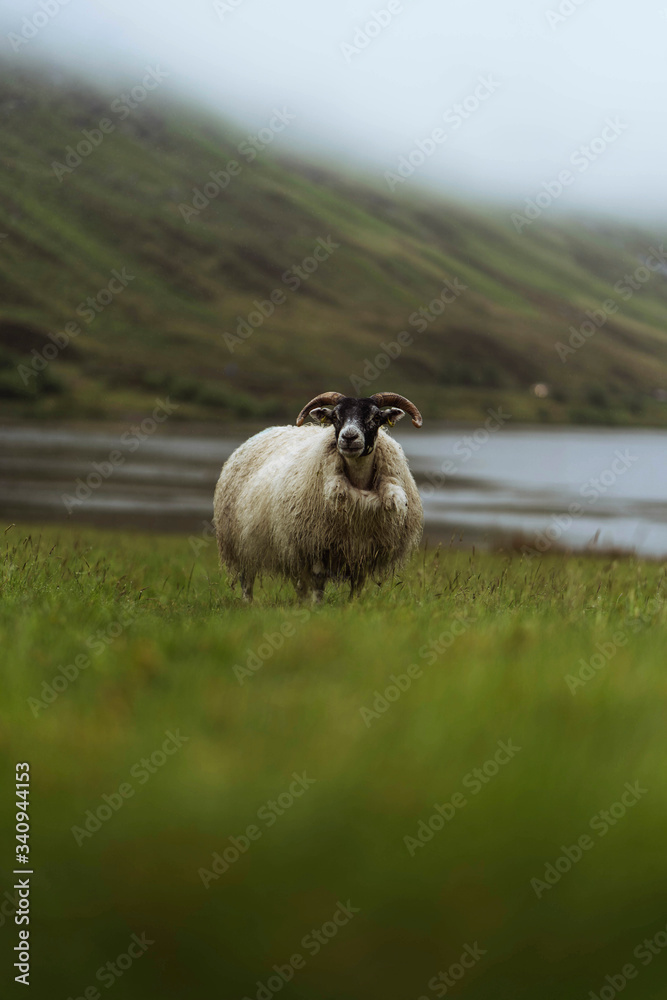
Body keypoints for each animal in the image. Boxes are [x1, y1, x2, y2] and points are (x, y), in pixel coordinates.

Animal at [214, 388, 422, 600]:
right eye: (335, 417)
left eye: (376, 416)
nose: (349, 437)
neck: (358, 483)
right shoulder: (316, 544)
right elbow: (318, 584)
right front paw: (316, 605)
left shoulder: (363, 551)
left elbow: (357, 586)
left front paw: (353, 604)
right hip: (242, 544)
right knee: (247, 580)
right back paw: (248, 602)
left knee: (298, 583)